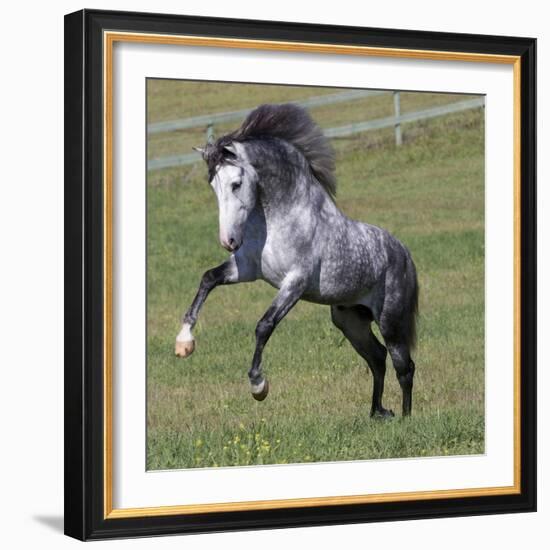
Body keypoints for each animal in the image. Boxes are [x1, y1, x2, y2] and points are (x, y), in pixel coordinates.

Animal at [175, 103, 420, 418]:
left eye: (236, 184)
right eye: (213, 186)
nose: (228, 241)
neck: (283, 217)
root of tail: (403, 253)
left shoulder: (295, 283)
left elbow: (264, 325)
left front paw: (258, 386)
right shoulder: (247, 269)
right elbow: (208, 279)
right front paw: (184, 343)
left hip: (391, 321)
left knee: (404, 366)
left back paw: (406, 418)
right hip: (350, 322)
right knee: (377, 358)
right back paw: (377, 413)